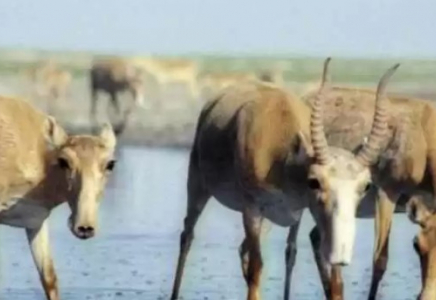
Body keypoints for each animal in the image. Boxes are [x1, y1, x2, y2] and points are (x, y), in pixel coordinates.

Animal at [169, 61, 398, 300]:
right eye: (314, 181)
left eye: (365, 186)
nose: (342, 253)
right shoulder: (252, 210)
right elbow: (257, 267)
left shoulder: (301, 212)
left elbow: (310, 265)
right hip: (198, 185)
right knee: (188, 235)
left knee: (247, 250)